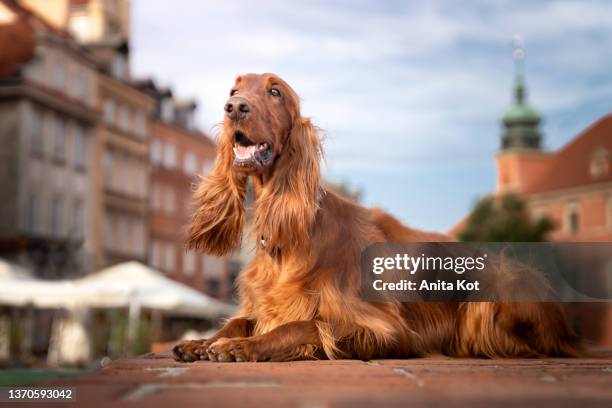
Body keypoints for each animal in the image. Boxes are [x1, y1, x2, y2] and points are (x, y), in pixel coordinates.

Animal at [172, 73, 580, 364]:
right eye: (234, 88)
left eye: (275, 91)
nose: (234, 106)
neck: (286, 239)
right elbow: (237, 319)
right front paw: (204, 341)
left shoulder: (386, 328)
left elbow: (304, 324)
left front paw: (241, 346)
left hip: (499, 279)